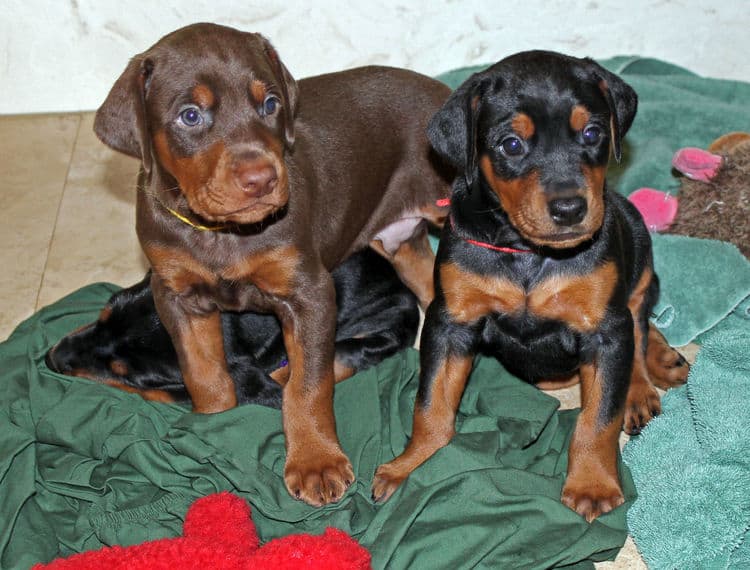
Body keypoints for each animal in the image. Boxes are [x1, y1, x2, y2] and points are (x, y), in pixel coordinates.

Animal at [91, 22, 450, 504]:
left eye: (270, 104)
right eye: (190, 116)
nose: (262, 179)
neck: (219, 232)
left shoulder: (309, 293)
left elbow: (307, 385)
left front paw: (316, 462)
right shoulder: (176, 296)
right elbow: (203, 372)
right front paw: (215, 426)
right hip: (403, 245)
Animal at [374, 50, 692, 520]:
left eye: (593, 133)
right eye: (511, 144)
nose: (570, 209)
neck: (527, 252)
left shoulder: (604, 329)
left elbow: (598, 417)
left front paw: (593, 484)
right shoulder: (450, 321)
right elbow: (431, 404)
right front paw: (410, 464)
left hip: (638, 256)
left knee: (638, 321)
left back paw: (649, 377)